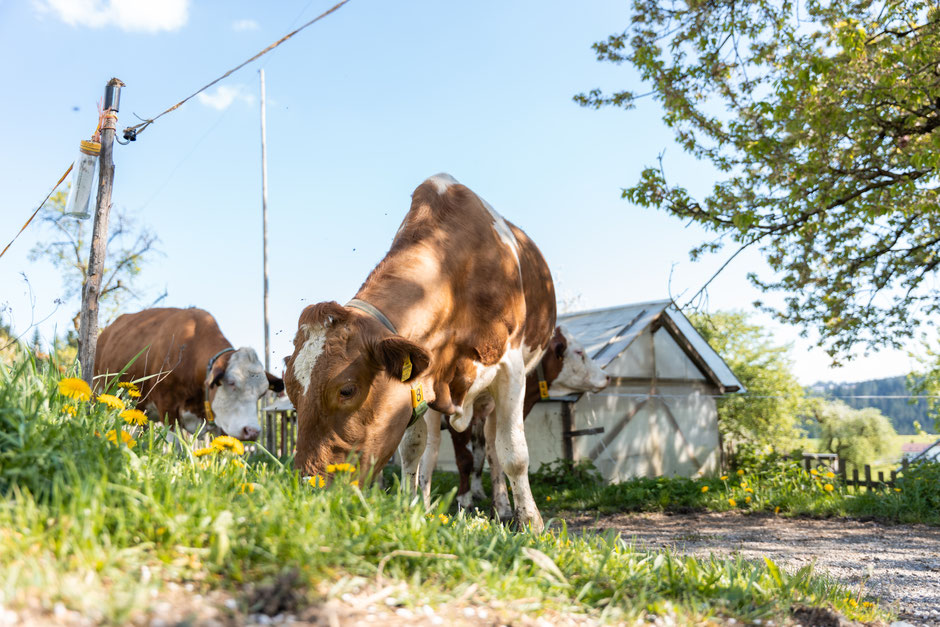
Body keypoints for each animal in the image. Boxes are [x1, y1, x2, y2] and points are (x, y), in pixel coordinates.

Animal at [284, 173, 555, 530]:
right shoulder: (418, 385)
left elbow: (513, 452)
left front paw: (531, 524)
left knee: (493, 447)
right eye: (290, 392)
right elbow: (413, 450)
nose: (309, 490)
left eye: (347, 390)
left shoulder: (511, 369)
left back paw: (502, 506)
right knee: (435, 448)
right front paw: (410, 508)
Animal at [418, 325, 609, 517]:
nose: (607, 376)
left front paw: (479, 493)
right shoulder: (457, 418)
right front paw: (464, 501)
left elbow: (482, 457)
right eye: (579, 352)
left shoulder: (482, 418)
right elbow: (465, 460)